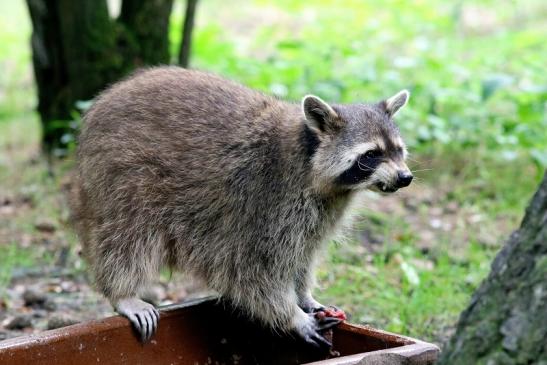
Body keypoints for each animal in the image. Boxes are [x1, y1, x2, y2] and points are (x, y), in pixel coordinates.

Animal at [73, 67, 414, 348]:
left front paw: (304, 295)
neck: (313, 166)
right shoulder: (266, 201)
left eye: (398, 151)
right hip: (123, 175)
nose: (405, 177)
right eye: (371, 155)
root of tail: (101, 104)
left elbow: (304, 255)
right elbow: (254, 270)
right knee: (126, 236)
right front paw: (292, 316)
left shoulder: (321, 212)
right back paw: (123, 291)